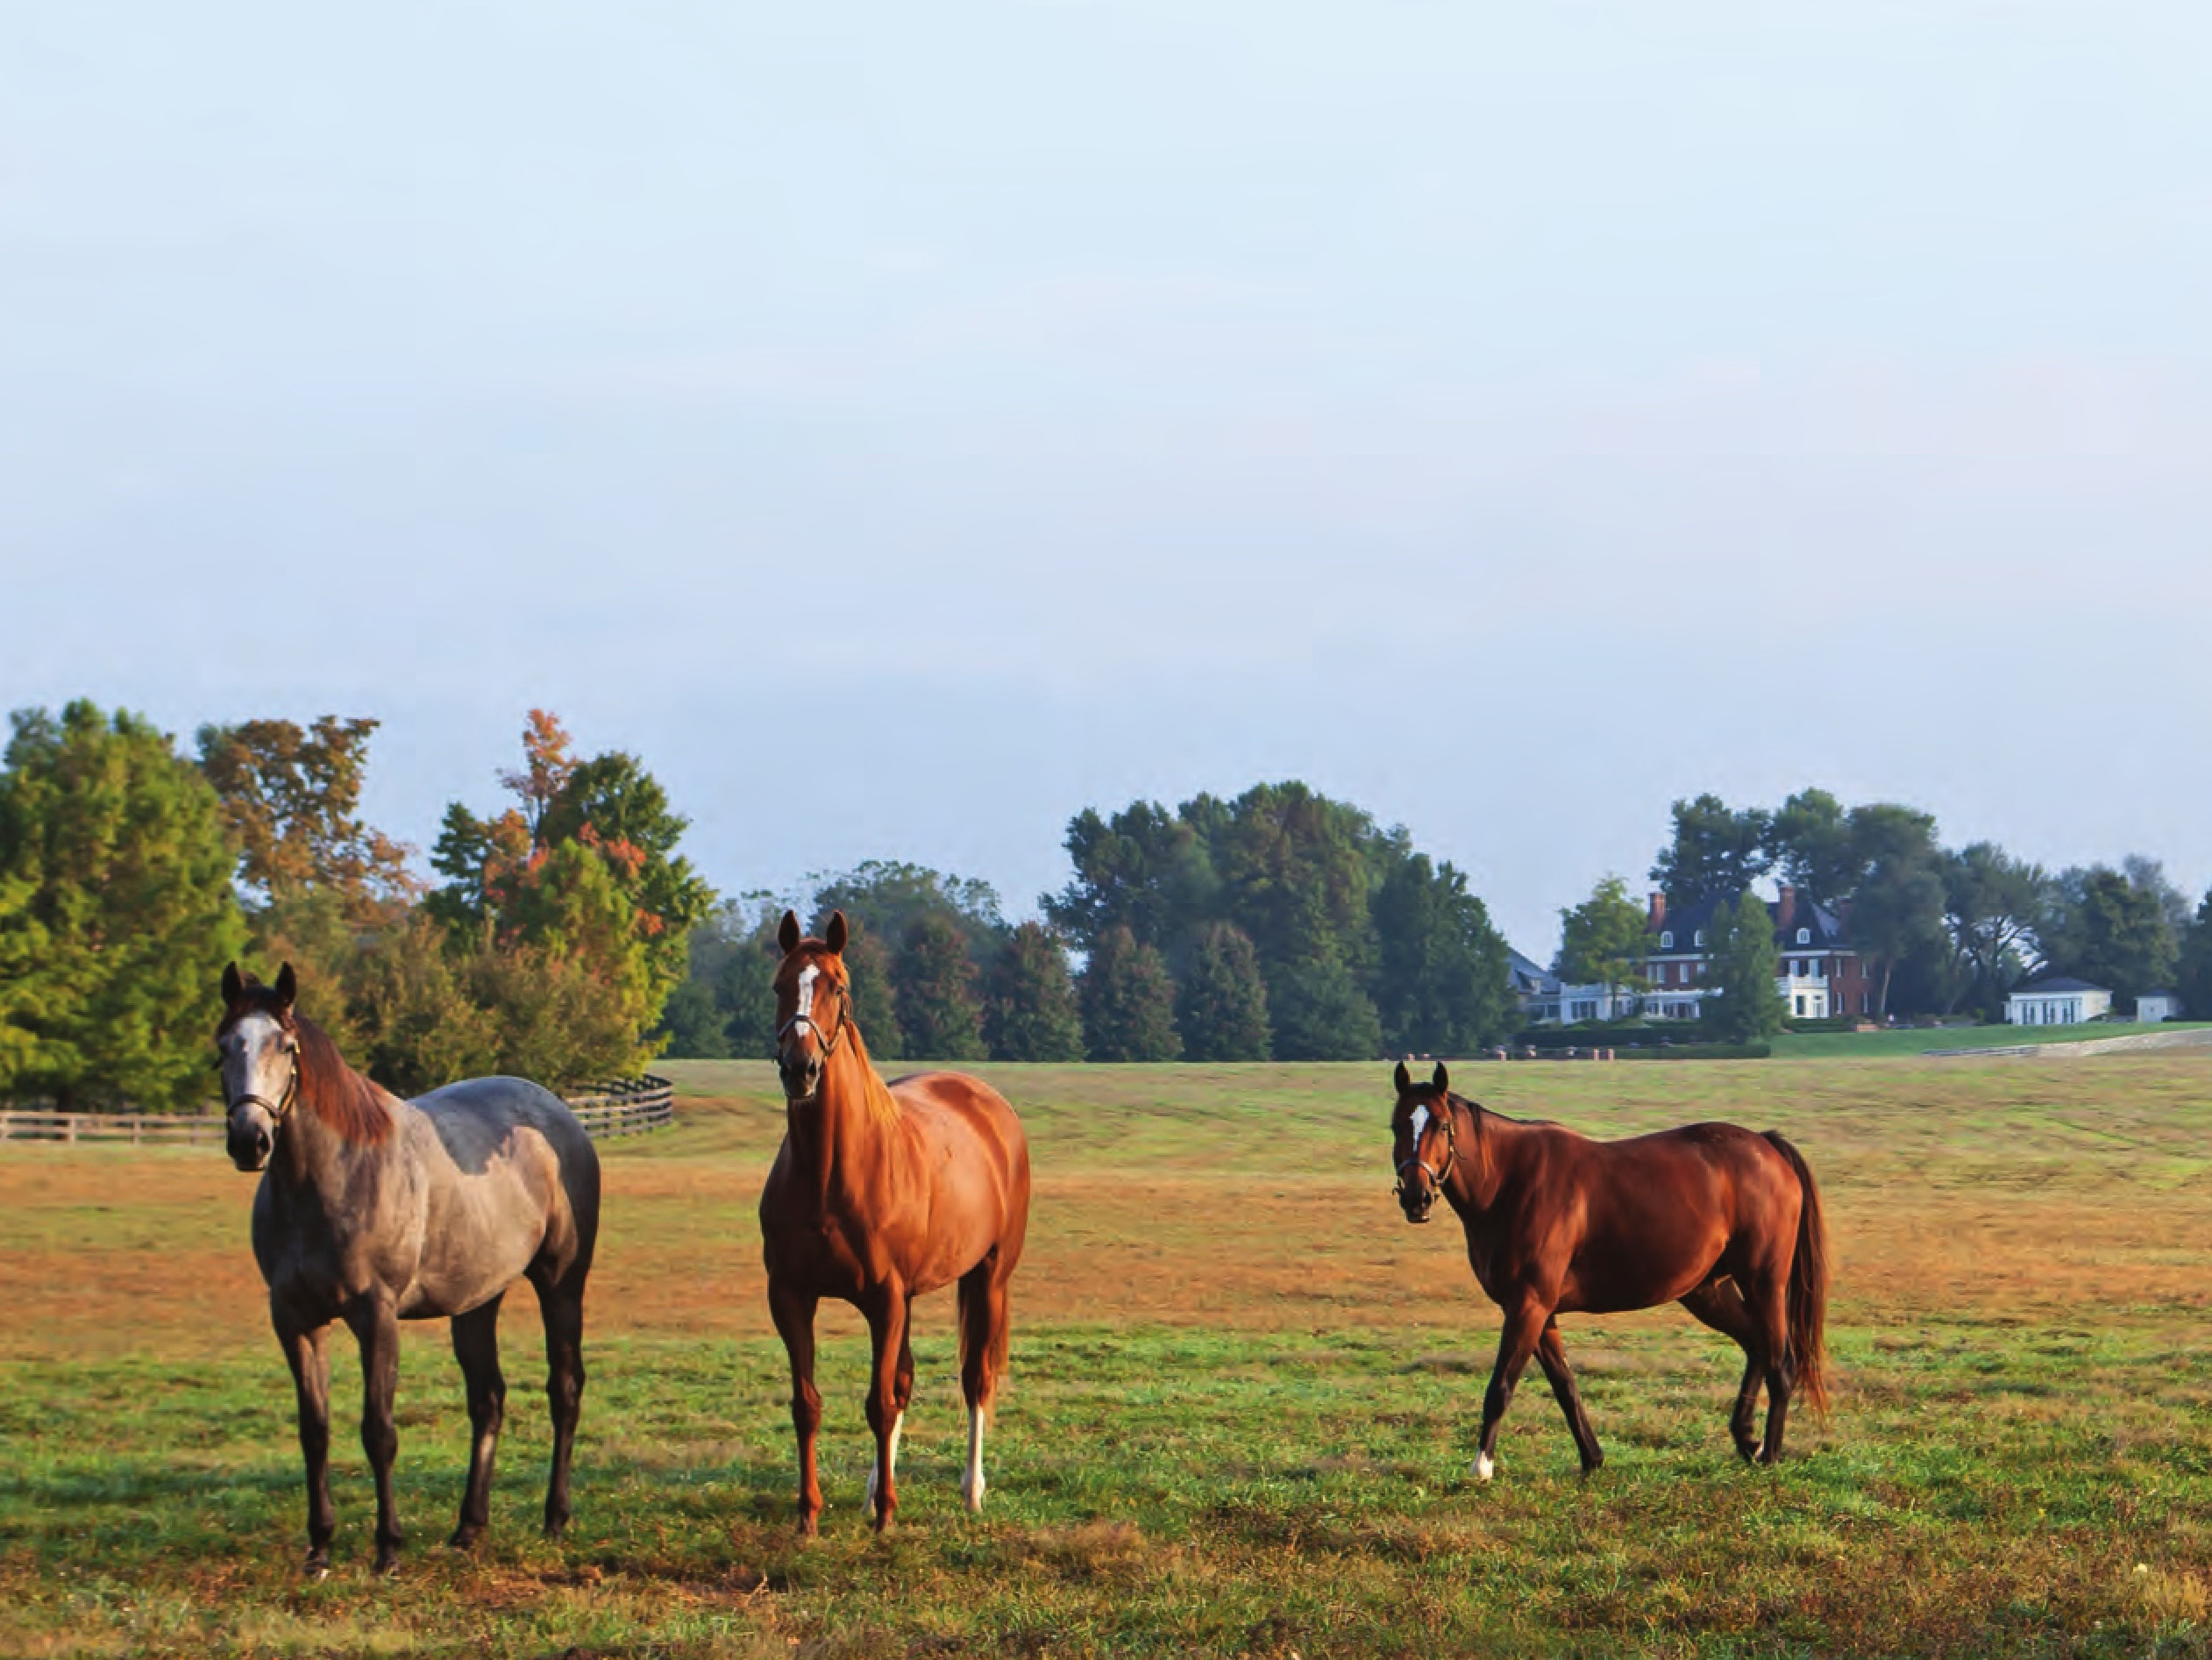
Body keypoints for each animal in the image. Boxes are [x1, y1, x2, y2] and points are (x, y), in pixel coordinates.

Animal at [216, 962, 600, 1574]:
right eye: (225, 1045)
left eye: (286, 1045)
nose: (249, 1140)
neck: (331, 1178)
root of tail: (559, 1115)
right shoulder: (295, 1320)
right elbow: (314, 1430)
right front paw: (319, 1547)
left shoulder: (376, 1316)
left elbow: (380, 1432)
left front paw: (388, 1549)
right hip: (477, 1301)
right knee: (487, 1400)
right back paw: (469, 1526)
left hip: (561, 1283)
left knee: (564, 1389)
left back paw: (555, 1518)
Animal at [758, 910, 1031, 1535]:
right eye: (780, 985)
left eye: (838, 987)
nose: (801, 1069)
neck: (831, 1174)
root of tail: (988, 1104)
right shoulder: (791, 1296)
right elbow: (808, 1405)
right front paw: (810, 1515)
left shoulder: (883, 1298)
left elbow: (879, 1404)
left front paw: (886, 1517)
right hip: (910, 1298)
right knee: (905, 1380)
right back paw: (872, 1492)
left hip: (988, 1277)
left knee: (974, 1378)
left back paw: (971, 1491)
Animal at [1389, 1060, 1828, 1479]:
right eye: (1396, 1125)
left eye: (1442, 1125)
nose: (1416, 1198)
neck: (1510, 1183)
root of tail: (1766, 1146)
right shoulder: (1540, 1312)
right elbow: (1565, 1386)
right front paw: (1592, 1459)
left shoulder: (1528, 1305)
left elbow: (1501, 1387)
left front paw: (1482, 1466)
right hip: (1708, 1290)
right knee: (1756, 1345)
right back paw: (1747, 1438)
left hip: (1763, 1282)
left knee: (1780, 1364)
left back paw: (1771, 1454)